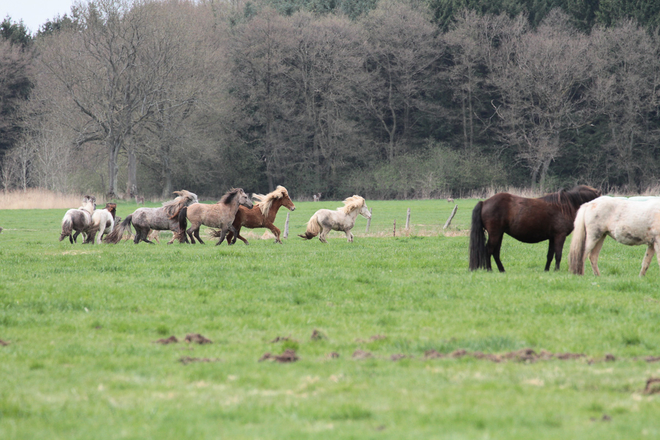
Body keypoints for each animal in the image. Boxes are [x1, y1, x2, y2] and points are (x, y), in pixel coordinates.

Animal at [466, 186, 600, 272]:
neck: (565, 207)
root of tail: (484, 202)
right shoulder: (559, 236)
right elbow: (558, 254)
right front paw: (556, 270)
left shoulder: (552, 237)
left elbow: (550, 255)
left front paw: (547, 270)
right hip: (495, 234)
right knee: (489, 250)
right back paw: (489, 269)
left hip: (499, 234)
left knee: (495, 252)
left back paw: (501, 269)